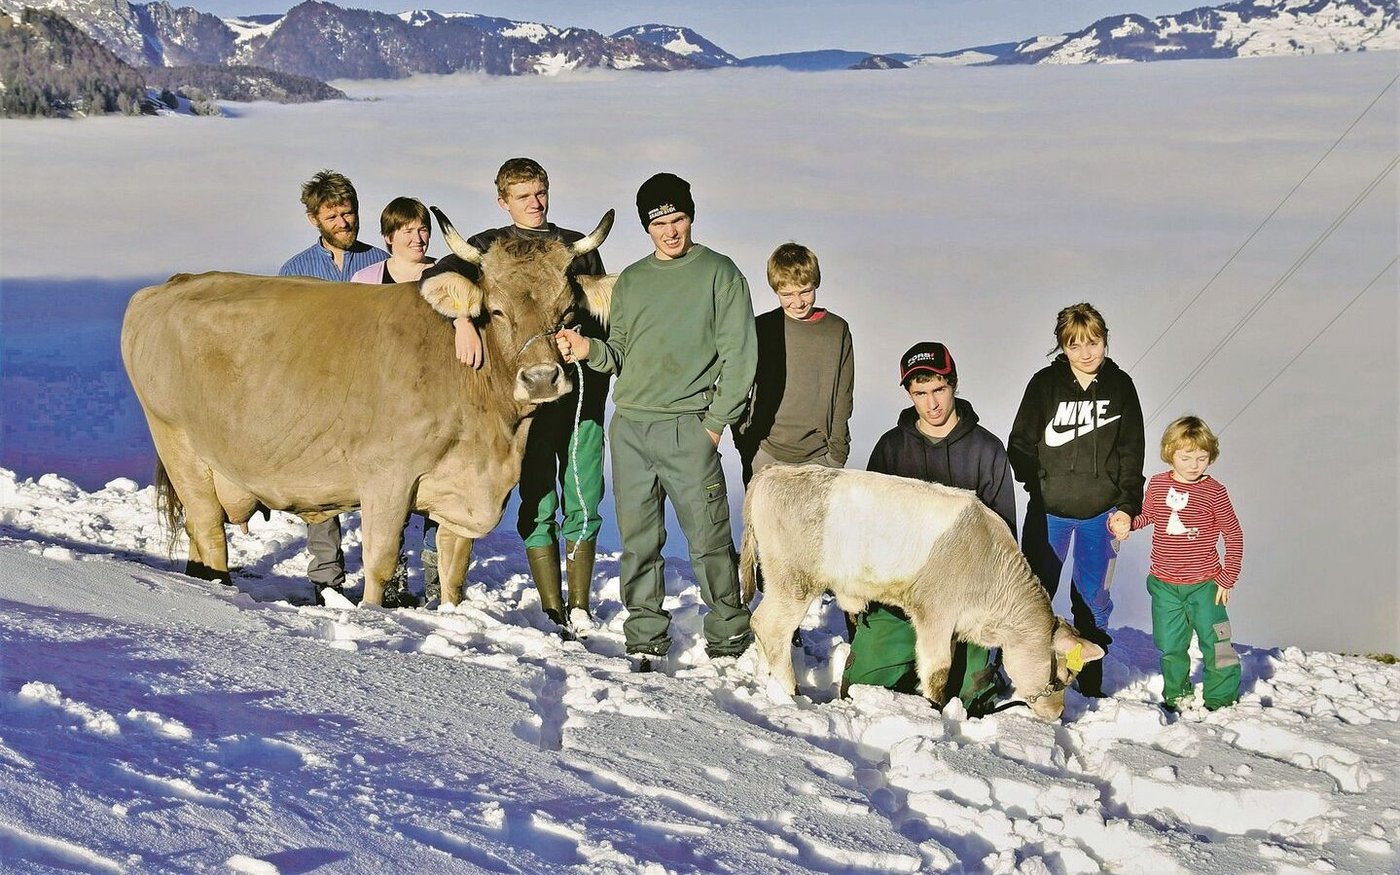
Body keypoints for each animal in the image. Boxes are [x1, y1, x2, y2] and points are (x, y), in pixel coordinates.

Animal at [121, 208, 614, 607]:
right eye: (494, 310)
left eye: (568, 313)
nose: (541, 379)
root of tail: (172, 283)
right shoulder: (386, 477)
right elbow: (381, 560)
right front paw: (373, 614)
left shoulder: (462, 493)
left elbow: (453, 573)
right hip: (178, 444)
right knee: (208, 530)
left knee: (197, 534)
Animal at [738, 464, 1105, 720]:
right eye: (1063, 675)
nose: (1057, 713)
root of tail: (775, 471)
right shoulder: (935, 616)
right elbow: (937, 671)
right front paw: (937, 713)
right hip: (793, 582)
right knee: (771, 628)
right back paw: (790, 694)